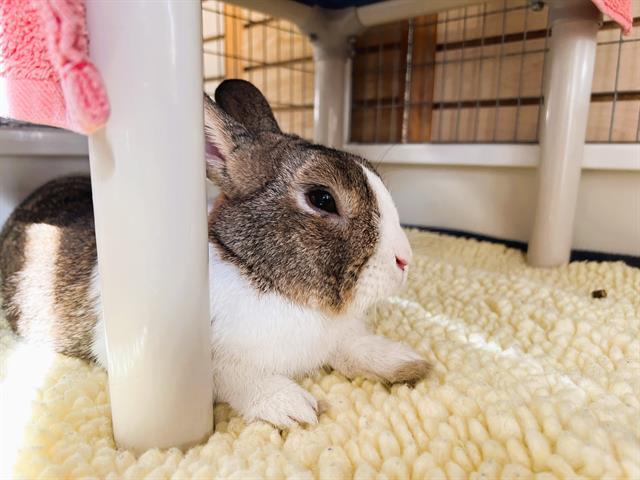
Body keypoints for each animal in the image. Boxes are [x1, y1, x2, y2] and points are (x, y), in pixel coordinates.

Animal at [0, 79, 431, 428]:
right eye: (322, 199)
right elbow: (231, 372)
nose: (405, 260)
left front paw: (406, 362)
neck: (265, 280)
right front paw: (292, 406)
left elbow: (350, 345)